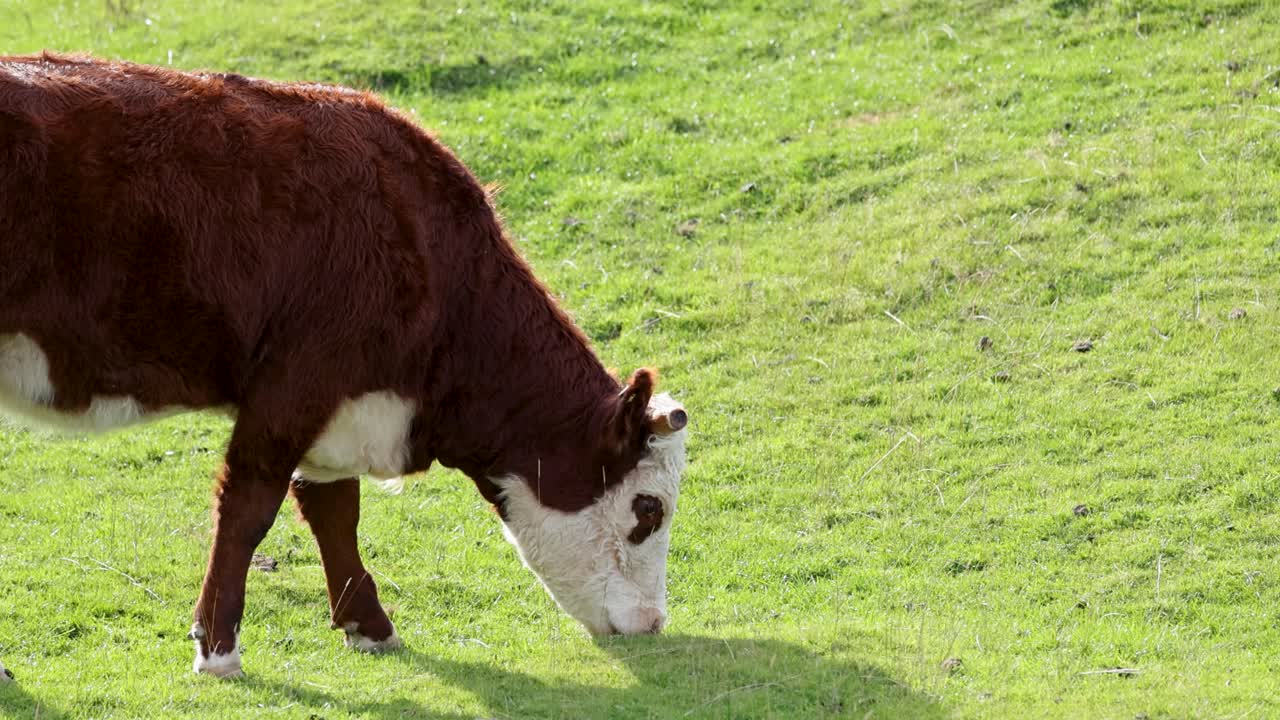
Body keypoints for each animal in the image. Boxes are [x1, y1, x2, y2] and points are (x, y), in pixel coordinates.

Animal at [0, 53, 689, 680]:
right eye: (648, 510)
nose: (652, 623)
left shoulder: (342, 407)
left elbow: (334, 508)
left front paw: (369, 625)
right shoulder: (293, 389)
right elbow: (249, 511)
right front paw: (217, 650)